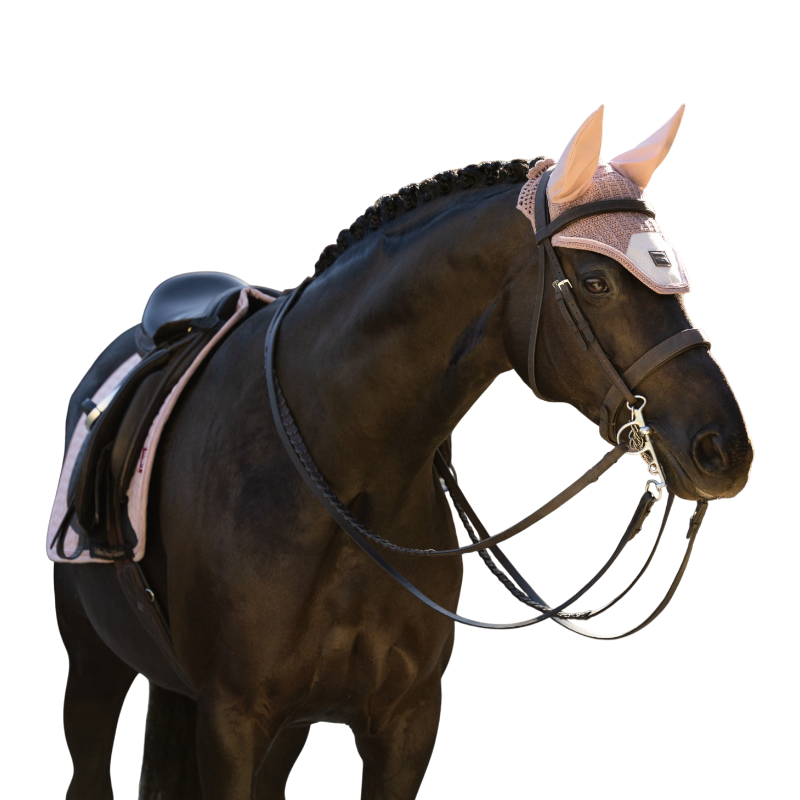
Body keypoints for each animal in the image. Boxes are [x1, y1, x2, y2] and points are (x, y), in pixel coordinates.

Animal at [52, 105, 754, 799]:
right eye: (596, 281)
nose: (724, 450)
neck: (339, 481)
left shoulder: (404, 724)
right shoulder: (231, 721)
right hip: (93, 666)